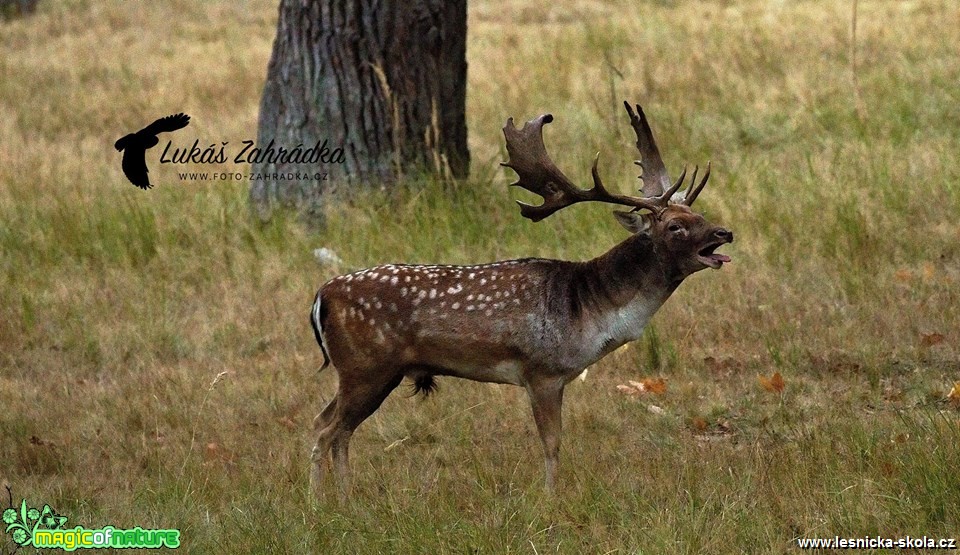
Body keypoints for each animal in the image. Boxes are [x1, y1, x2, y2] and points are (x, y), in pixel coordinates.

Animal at [312, 101, 732, 500]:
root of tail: (321, 296)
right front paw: (550, 499)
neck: (589, 308)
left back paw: (343, 497)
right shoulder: (542, 369)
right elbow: (552, 444)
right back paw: (327, 503)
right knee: (328, 429)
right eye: (675, 226)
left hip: (372, 372)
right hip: (366, 366)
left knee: (331, 424)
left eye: (698, 213)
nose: (724, 232)